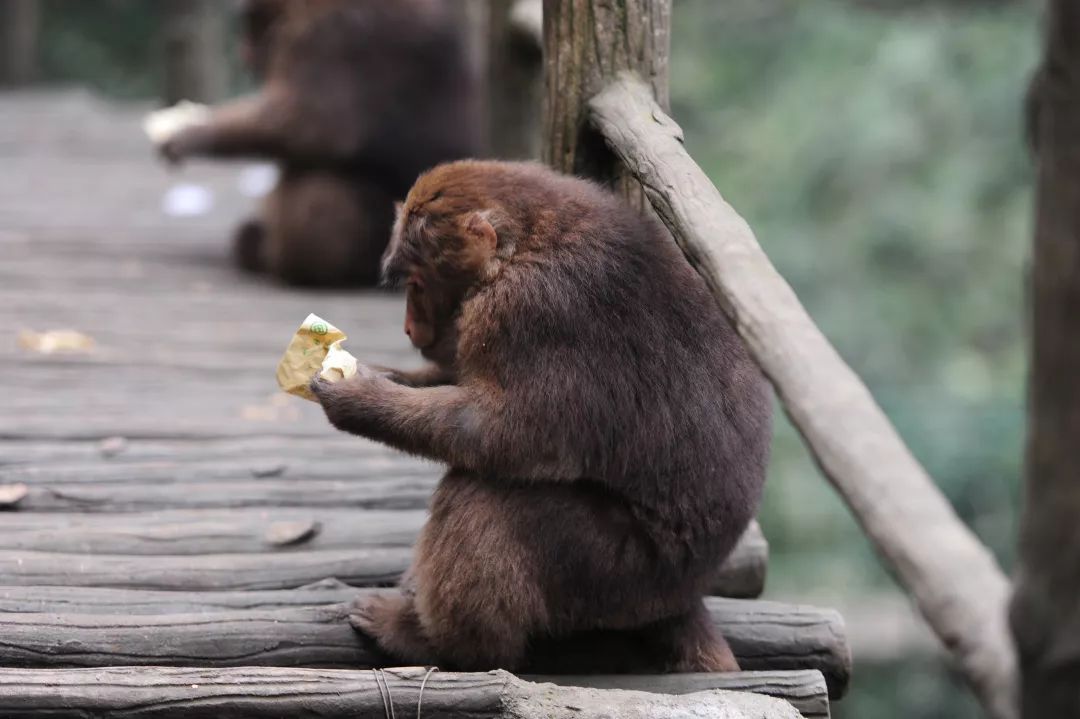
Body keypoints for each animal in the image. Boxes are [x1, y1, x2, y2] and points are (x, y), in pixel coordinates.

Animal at [160, 0, 481, 285]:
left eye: (253, 21)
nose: (245, 51)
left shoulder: (331, 33)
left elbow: (312, 124)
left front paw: (192, 131)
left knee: (321, 194)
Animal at [308, 159, 773, 669]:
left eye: (417, 284)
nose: (410, 328)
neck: (526, 242)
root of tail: (685, 593)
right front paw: (381, 375)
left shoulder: (529, 309)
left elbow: (506, 435)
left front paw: (358, 398)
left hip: (619, 575)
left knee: (486, 499)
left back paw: (446, 644)